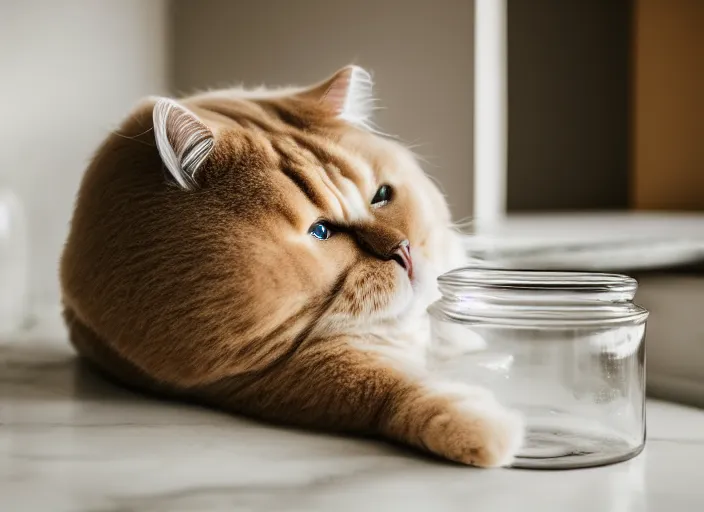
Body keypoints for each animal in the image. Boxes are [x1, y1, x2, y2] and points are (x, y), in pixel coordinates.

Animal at [60, 65, 524, 468]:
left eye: (381, 196)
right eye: (321, 231)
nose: (404, 252)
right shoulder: (264, 376)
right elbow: (384, 387)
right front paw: (480, 429)